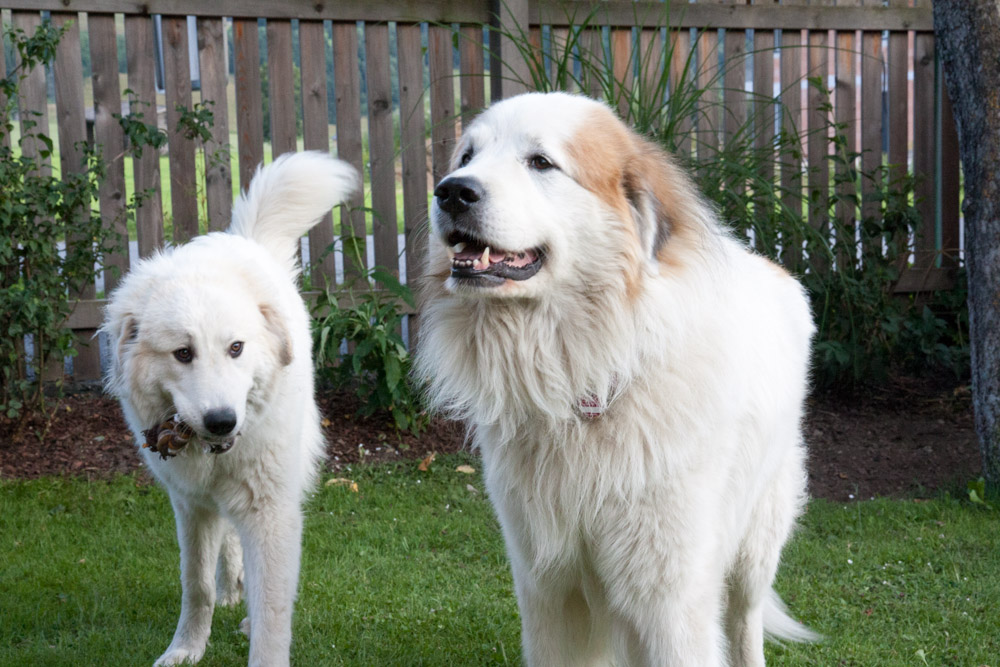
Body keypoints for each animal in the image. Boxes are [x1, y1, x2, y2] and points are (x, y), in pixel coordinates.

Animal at [414, 91, 820, 664]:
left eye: (540, 162)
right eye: (467, 156)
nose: (451, 190)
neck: (585, 376)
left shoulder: (671, 599)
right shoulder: (549, 590)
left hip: (755, 542)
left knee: (745, 620)